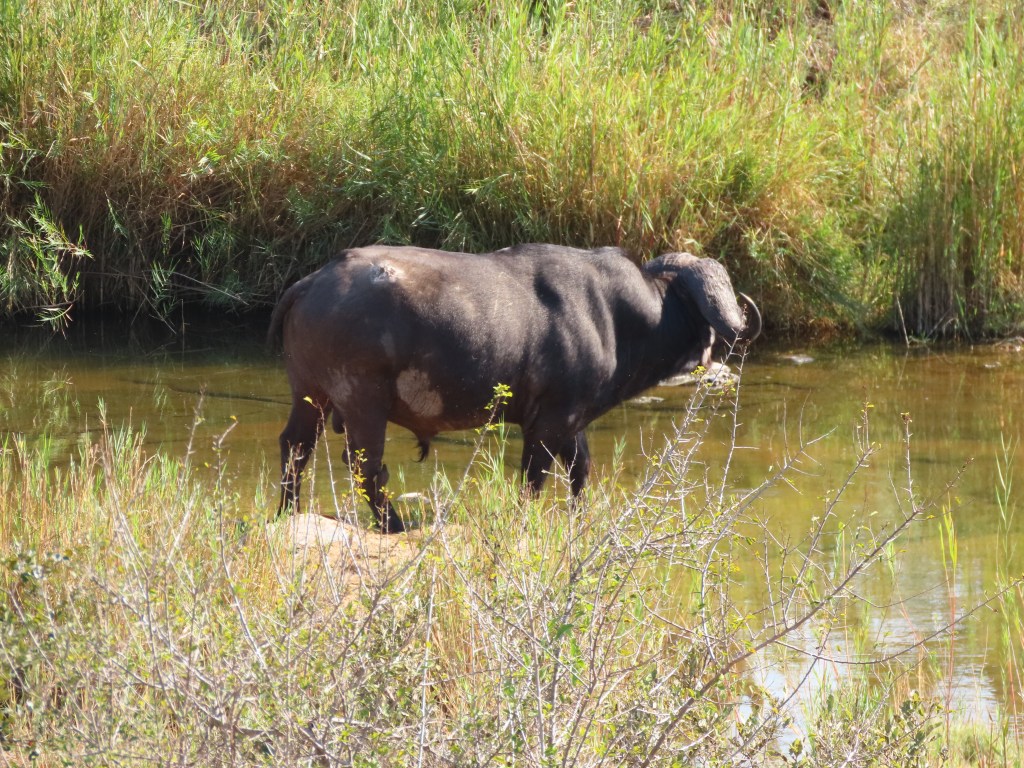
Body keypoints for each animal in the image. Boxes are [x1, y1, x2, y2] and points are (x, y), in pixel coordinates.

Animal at [269, 244, 761, 532]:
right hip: (362, 402)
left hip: (310, 395)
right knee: (366, 467)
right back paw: (396, 525)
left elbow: (580, 470)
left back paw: (287, 511)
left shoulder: (571, 421)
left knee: (295, 447)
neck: (616, 318)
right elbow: (534, 479)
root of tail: (311, 283)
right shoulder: (549, 422)